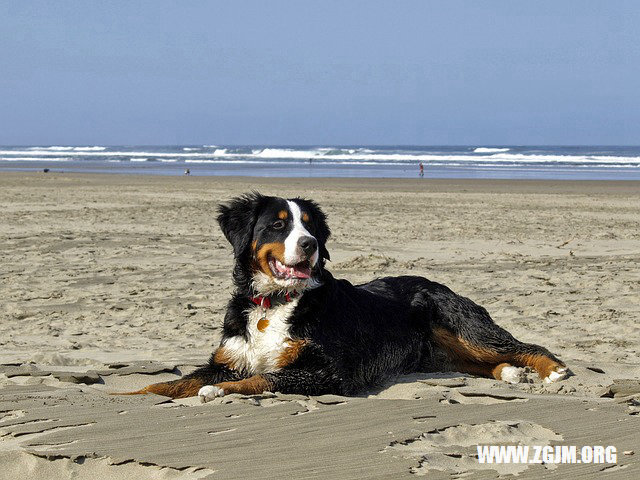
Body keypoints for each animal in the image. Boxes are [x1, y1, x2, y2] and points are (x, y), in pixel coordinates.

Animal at [126, 191, 568, 402]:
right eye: (278, 225)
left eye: (310, 227)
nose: (309, 245)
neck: (276, 302)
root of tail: (438, 283)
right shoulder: (226, 359)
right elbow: (169, 384)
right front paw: (124, 395)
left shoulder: (328, 371)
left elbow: (263, 378)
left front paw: (219, 392)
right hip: (440, 354)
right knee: (480, 363)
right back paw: (510, 373)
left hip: (465, 327)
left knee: (522, 345)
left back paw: (552, 370)